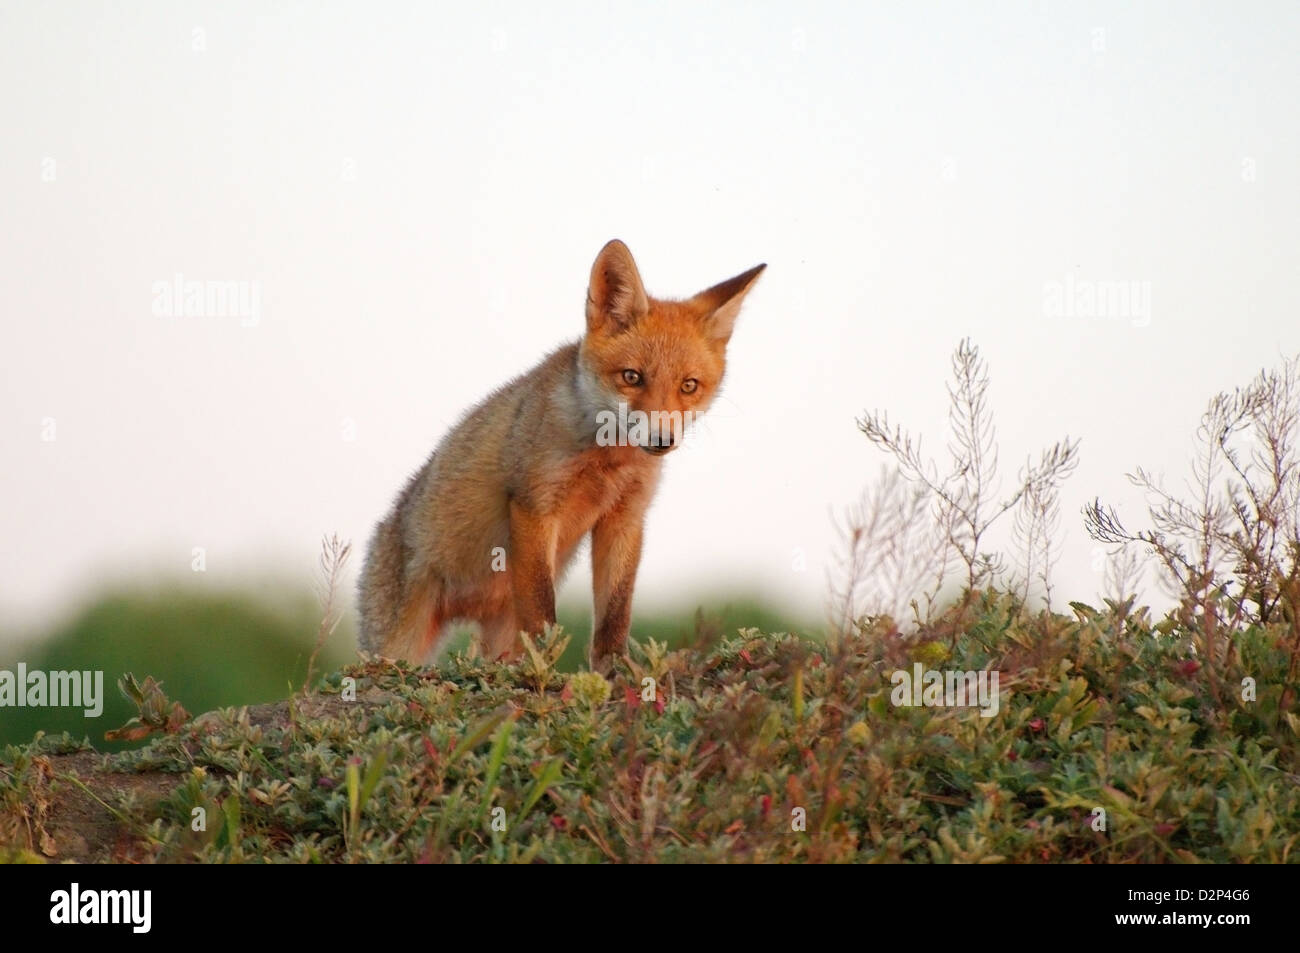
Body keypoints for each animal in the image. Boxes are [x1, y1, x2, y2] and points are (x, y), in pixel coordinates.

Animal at [357, 239, 764, 669]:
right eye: (632, 377)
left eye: (688, 386)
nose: (661, 439)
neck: (607, 461)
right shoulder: (535, 505)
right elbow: (542, 611)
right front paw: (544, 666)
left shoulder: (625, 517)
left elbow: (615, 613)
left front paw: (614, 668)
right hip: (399, 643)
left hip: (499, 627)